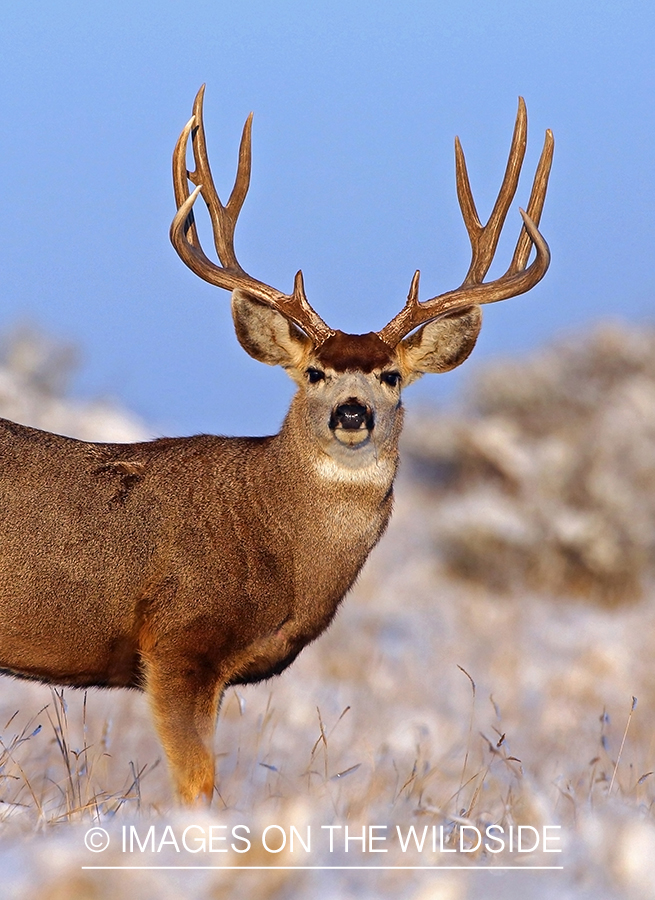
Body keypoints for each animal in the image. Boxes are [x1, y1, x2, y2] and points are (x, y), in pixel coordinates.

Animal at [0, 87, 553, 804]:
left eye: (391, 375)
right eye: (314, 372)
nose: (352, 413)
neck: (273, 538)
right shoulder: (177, 641)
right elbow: (198, 785)